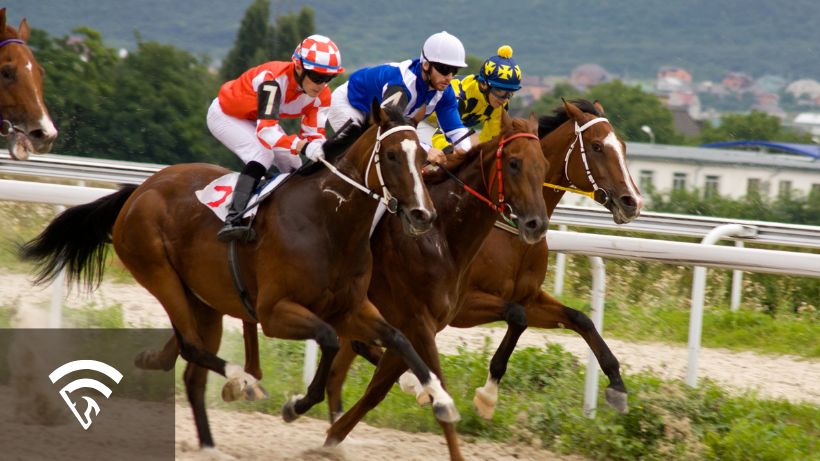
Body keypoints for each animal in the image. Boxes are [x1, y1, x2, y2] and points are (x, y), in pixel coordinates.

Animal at [20, 103, 462, 450]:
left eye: (423, 156)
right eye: (391, 155)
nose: (423, 215)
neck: (328, 222)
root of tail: (140, 190)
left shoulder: (352, 308)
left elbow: (399, 338)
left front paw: (440, 397)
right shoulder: (275, 312)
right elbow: (329, 340)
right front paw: (295, 404)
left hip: (205, 300)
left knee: (191, 367)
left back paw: (206, 437)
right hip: (159, 273)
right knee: (192, 348)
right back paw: (242, 381)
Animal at [324, 100, 644, 424]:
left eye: (623, 146)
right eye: (596, 147)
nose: (633, 202)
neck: (509, 232)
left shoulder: (528, 296)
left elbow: (580, 319)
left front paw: (617, 386)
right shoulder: (464, 306)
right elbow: (517, 316)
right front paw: (486, 397)